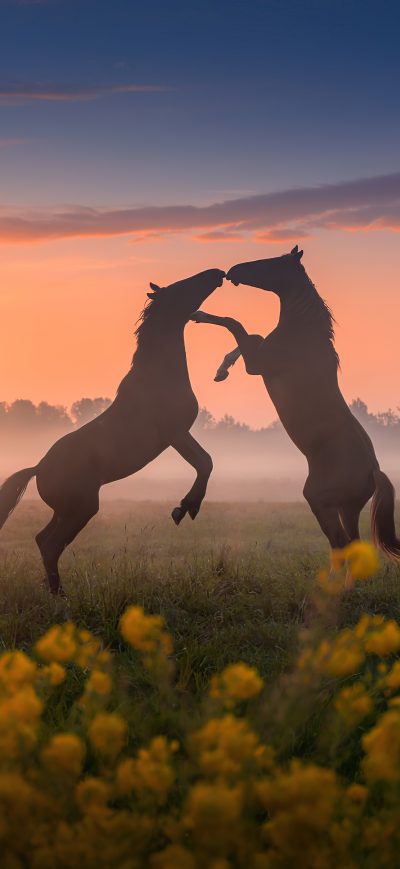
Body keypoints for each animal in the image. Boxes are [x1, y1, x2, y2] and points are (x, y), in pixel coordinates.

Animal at [0, 268, 225, 594]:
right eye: (182, 287)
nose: (217, 273)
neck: (160, 375)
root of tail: (38, 468)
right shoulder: (176, 433)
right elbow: (205, 462)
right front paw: (186, 508)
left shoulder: (180, 434)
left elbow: (205, 462)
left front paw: (185, 507)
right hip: (81, 509)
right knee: (51, 545)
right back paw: (61, 595)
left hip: (66, 511)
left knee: (43, 540)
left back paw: (55, 590)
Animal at [191, 247, 400, 558]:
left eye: (272, 263)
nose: (232, 272)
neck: (302, 337)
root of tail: (373, 471)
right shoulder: (258, 355)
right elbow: (249, 335)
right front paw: (221, 371)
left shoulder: (257, 364)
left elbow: (235, 324)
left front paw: (198, 314)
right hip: (347, 508)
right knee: (351, 545)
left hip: (321, 502)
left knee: (340, 542)